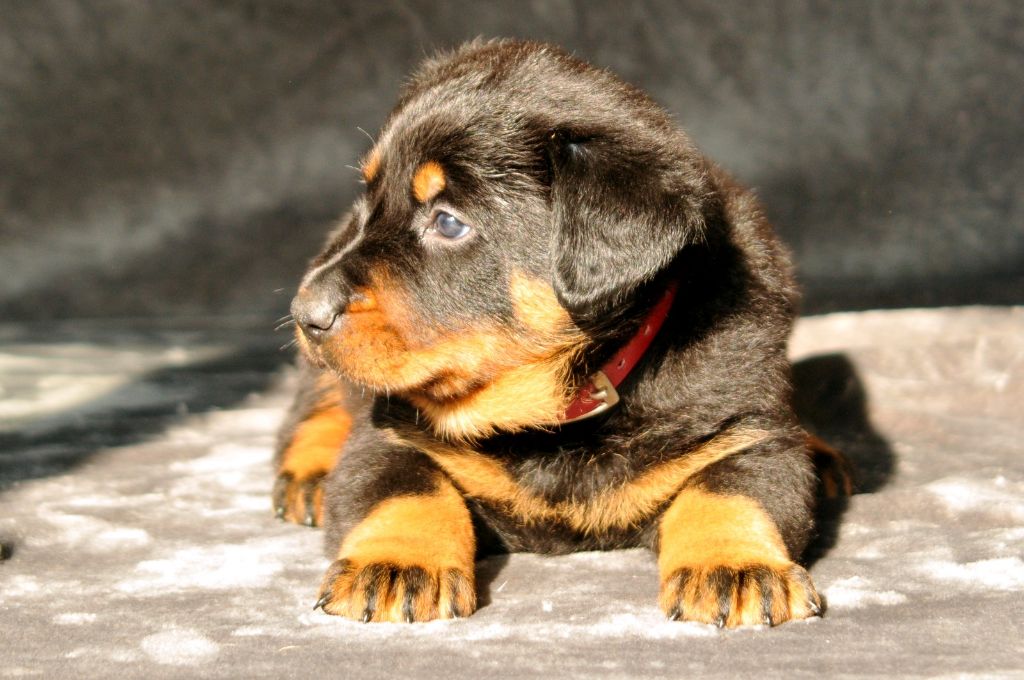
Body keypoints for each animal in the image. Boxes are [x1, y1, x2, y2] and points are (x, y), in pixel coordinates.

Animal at [273, 39, 850, 628]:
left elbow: (732, 490)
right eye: (368, 202)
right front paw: (394, 565)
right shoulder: (388, 433)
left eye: (449, 222)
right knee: (314, 402)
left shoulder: (746, 429)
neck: (553, 416)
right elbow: (403, 489)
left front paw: (736, 567)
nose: (305, 311)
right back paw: (310, 472)